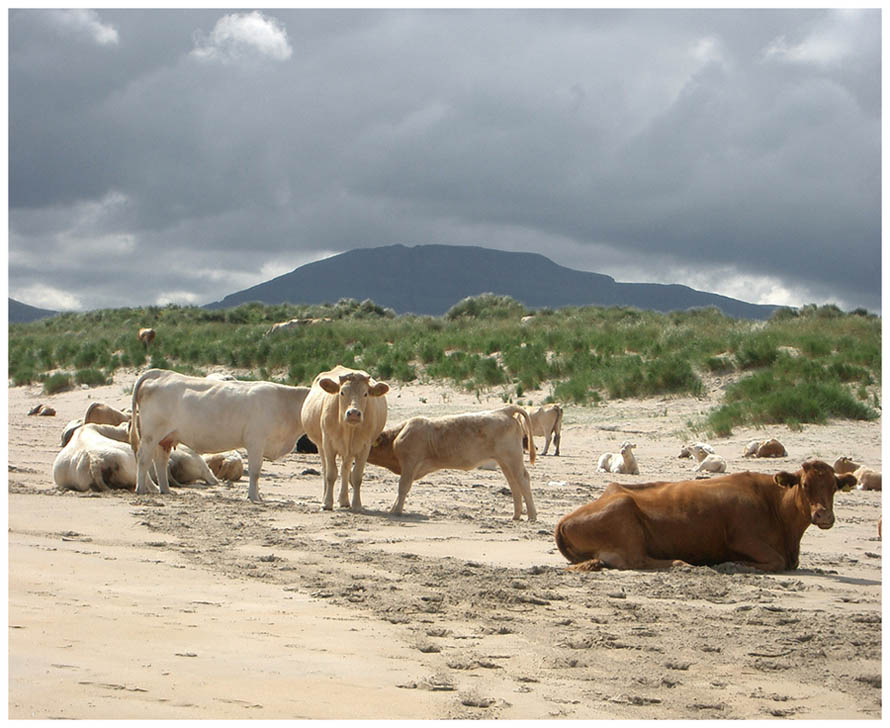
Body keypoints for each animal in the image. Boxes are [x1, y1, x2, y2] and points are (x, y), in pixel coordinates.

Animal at [128, 370, 308, 500]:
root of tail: (162, 373)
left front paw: (257, 495)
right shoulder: (256, 441)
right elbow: (255, 471)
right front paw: (253, 496)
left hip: (166, 437)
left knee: (160, 461)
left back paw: (165, 490)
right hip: (151, 434)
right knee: (143, 458)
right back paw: (141, 489)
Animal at [300, 364, 386, 512]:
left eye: (365, 393)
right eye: (342, 392)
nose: (354, 413)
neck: (348, 429)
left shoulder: (364, 447)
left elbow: (356, 476)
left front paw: (357, 504)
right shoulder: (328, 444)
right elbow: (330, 474)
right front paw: (327, 503)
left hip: (349, 452)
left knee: (345, 470)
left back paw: (344, 500)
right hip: (320, 446)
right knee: (326, 469)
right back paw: (325, 498)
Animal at [366, 406, 536, 520]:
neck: (396, 436)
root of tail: (504, 410)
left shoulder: (410, 463)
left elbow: (403, 487)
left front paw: (396, 511)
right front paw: (394, 508)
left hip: (512, 458)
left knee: (523, 479)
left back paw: (532, 515)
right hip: (505, 461)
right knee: (514, 483)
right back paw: (516, 515)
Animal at [556, 460, 852, 576]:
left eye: (834, 487)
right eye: (805, 484)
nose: (824, 515)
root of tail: (565, 519)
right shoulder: (742, 538)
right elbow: (775, 561)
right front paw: (736, 564)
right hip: (624, 510)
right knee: (636, 561)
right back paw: (681, 563)